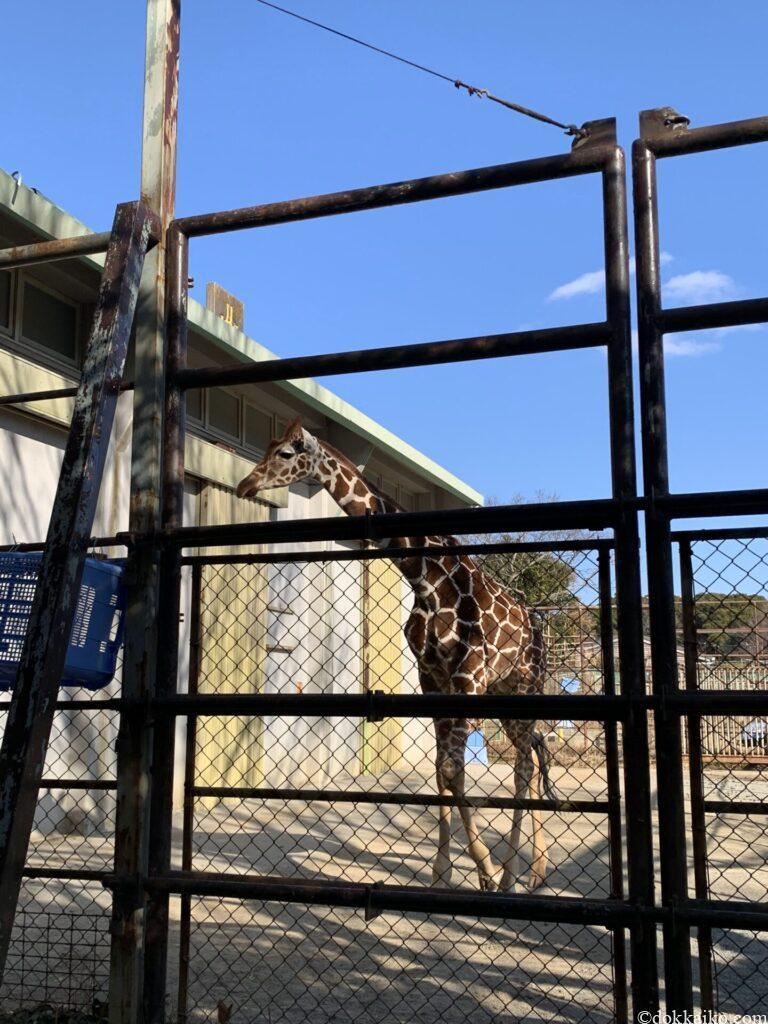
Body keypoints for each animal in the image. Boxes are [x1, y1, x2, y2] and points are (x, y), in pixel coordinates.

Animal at [236, 419, 552, 892]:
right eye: (269, 446)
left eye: (286, 454)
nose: (246, 484)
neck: (428, 580)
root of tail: (538, 628)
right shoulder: (432, 679)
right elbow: (442, 772)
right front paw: (443, 872)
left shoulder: (467, 678)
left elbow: (451, 770)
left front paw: (488, 870)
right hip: (503, 693)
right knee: (530, 754)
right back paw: (535, 869)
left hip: (524, 686)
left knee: (524, 765)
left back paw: (515, 873)